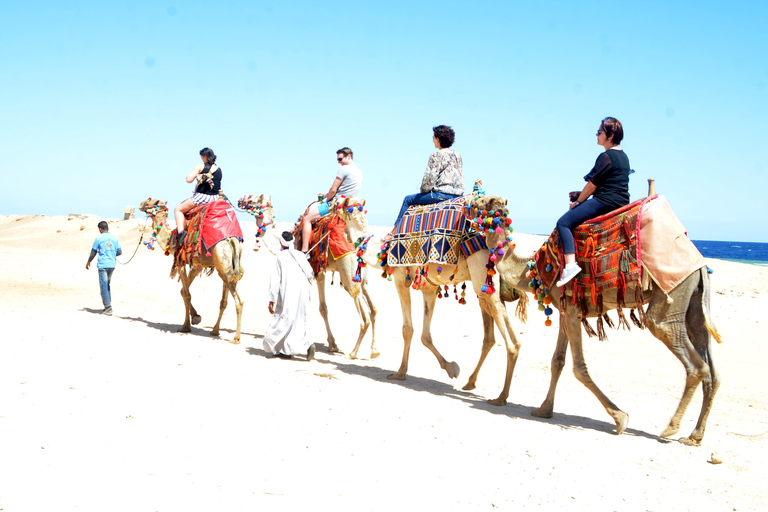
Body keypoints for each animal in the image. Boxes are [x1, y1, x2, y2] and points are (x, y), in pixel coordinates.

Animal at [140, 198, 274, 346]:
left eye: (150, 203)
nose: (141, 204)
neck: (169, 239)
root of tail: (233, 239)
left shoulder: (181, 261)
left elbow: (186, 294)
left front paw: (186, 326)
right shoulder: (197, 265)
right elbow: (184, 291)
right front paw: (196, 317)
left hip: (224, 268)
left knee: (238, 301)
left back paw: (236, 338)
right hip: (227, 268)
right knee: (226, 300)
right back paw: (215, 330)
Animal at [256, 196, 380, 360]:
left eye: (255, 202)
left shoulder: (319, 270)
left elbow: (323, 308)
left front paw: (332, 344)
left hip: (349, 275)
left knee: (363, 314)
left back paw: (353, 353)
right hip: (363, 276)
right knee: (373, 309)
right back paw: (374, 350)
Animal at [472, 194, 724, 446]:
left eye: (482, 202)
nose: (468, 203)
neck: (535, 269)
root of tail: (700, 264)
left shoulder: (572, 310)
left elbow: (579, 368)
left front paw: (620, 417)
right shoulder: (565, 310)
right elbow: (557, 361)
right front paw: (544, 410)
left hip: (672, 293)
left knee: (691, 359)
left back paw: (670, 428)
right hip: (693, 301)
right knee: (711, 367)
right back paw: (694, 435)